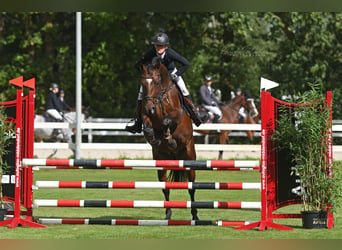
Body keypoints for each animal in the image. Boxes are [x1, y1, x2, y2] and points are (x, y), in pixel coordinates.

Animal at [138, 57, 198, 221]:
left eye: (157, 83)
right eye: (143, 84)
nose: (149, 108)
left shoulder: (176, 113)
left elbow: (166, 121)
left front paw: (169, 138)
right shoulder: (145, 115)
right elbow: (147, 127)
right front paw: (155, 139)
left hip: (189, 156)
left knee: (191, 187)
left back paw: (195, 215)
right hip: (161, 161)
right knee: (165, 187)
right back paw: (168, 213)